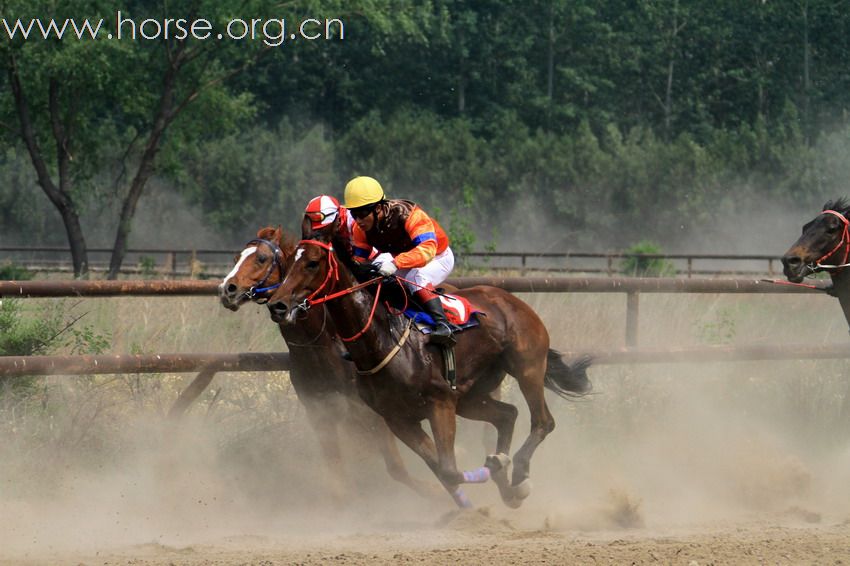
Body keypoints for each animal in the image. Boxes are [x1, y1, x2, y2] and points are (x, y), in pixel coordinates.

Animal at [217, 226, 438, 502]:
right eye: (237, 257)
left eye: (261, 258)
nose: (227, 289)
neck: (322, 345)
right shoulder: (321, 412)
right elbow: (338, 475)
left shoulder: (372, 412)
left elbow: (396, 467)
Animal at [266, 226, 588, 510]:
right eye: (289, 262)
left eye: (312, 263)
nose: (277, 305)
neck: (384, 338)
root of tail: (511, 300)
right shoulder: (398, 419)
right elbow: (442, 470)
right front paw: (474, 491)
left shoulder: (439, 403)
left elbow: (448, 468)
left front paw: (491, 473)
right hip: (469, 396)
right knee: (507, 415)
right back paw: (505, 479)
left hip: (527, 367)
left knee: (543, 422)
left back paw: (518, 475)